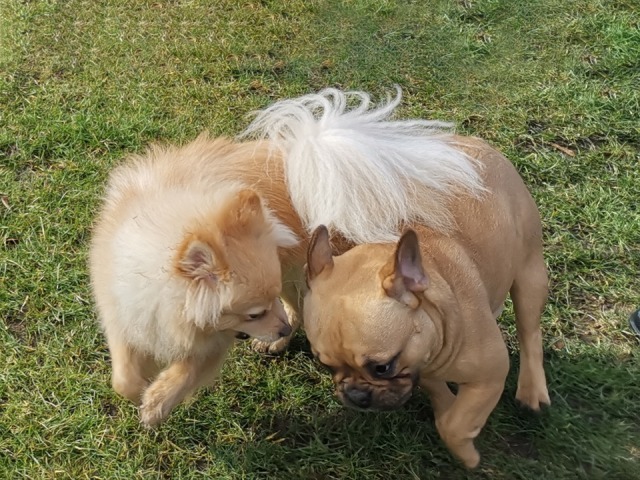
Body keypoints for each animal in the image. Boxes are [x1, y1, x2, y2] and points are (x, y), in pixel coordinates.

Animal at [87, 88, 482, 426]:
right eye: (253, 314)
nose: (277, 328)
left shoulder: (213, 339)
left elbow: (187, 371)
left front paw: (156, 404)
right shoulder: (122, 308)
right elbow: (123, 376)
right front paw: (140, 389)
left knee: (299, 302)